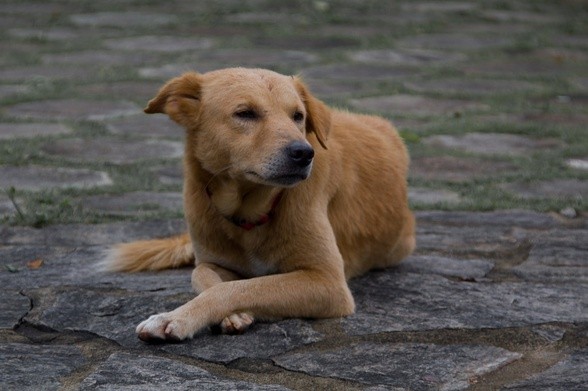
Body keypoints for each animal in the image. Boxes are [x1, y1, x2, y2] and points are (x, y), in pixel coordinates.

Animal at [103, 68, 416, 344]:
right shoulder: (212, 261)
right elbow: (204, 276)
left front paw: (175, 318)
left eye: (298, 116)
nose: (304, 153)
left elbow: (237, 288)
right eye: (245, 113)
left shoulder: (328, 282)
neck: (248, 212)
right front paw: (232, 315)